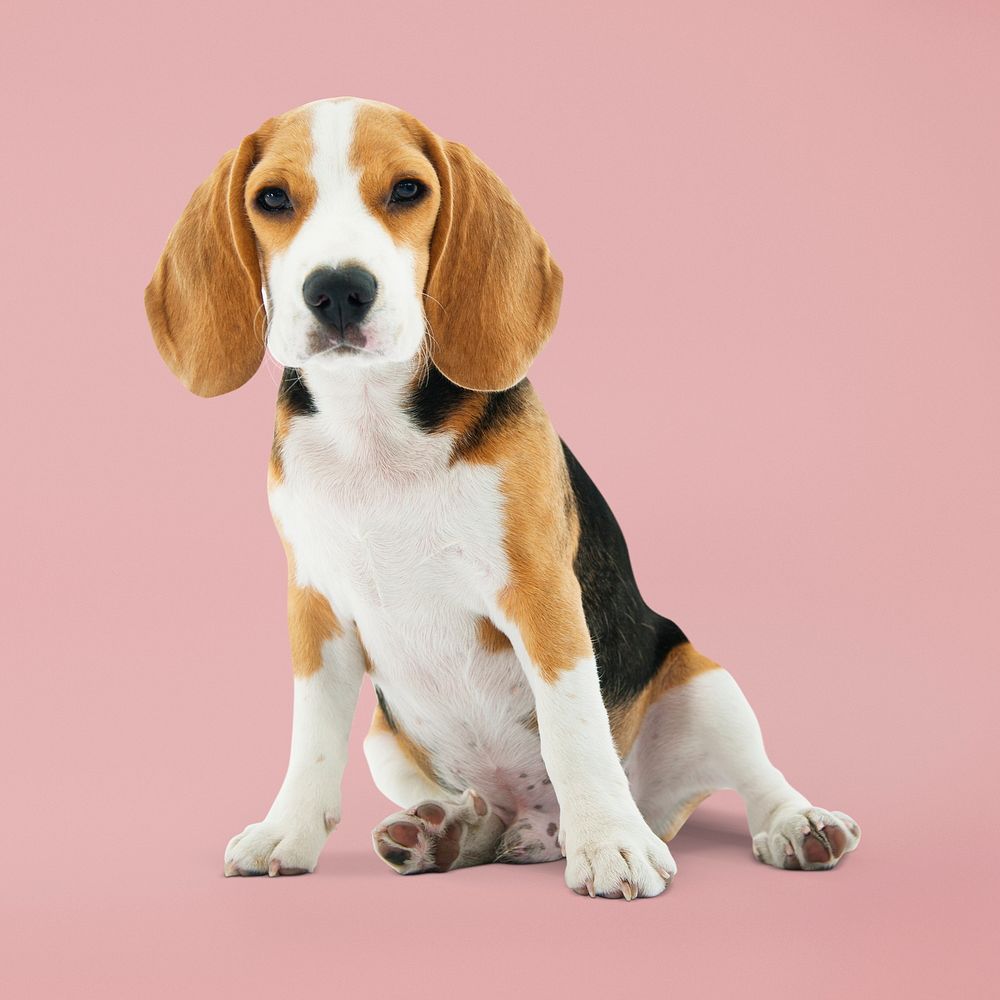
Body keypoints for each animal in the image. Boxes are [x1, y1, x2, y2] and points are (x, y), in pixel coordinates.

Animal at [146, 99, 860, 900]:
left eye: (407, 190)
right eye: (271, 199)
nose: (338, 290)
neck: (374, 431)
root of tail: (539, 824)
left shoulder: (541, 593)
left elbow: (572, 724)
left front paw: (610, 845)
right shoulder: (316, 608)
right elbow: (312, 740)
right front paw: (288, 830)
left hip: (706, 683)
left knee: (754, 776)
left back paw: (788, 825)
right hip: (388, 741)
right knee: (487, 811)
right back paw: (449, 833)